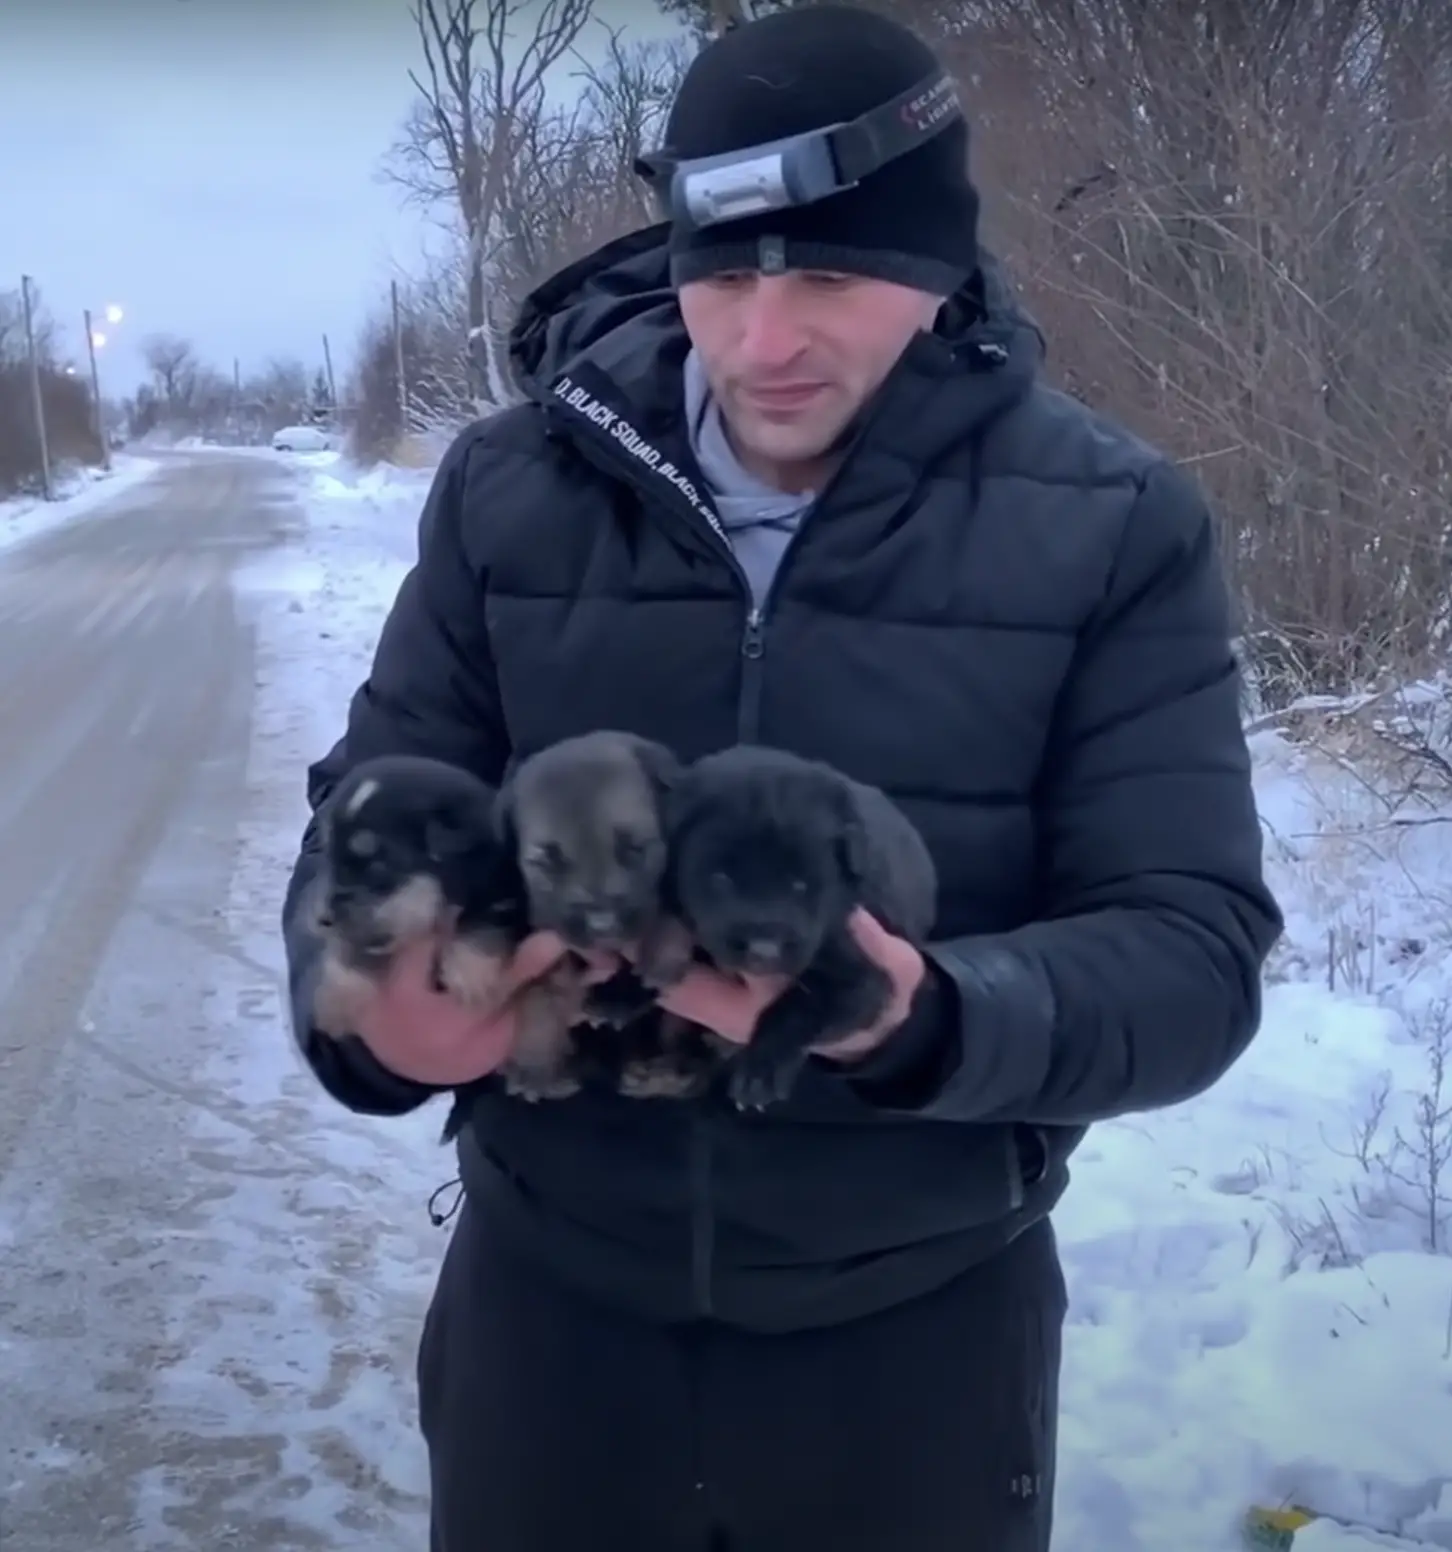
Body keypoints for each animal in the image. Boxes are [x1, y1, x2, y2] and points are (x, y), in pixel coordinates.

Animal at [663, 744, 936, 1111]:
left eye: (801, 885)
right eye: (721, 879)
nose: (764, 951)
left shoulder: (863, 976)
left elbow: (800, 1005)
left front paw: (760, 1072)